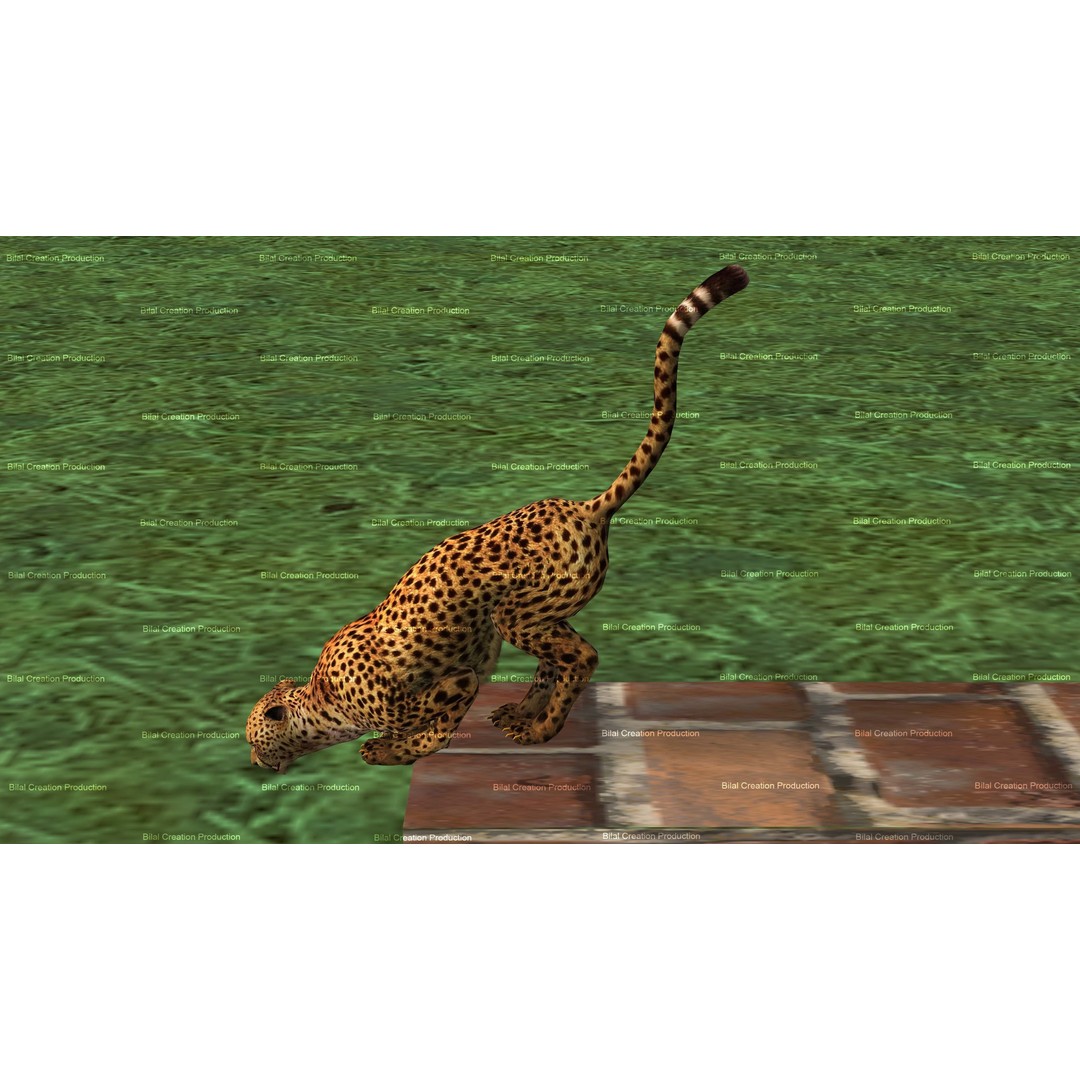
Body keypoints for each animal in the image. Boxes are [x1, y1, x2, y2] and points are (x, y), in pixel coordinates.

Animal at [246, 264, 749, 773]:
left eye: (253, 737)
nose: (251, 759)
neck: (320, 703)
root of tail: (580, 507)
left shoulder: (453, 682)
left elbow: (434, 726)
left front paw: (390, 750)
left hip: (518, 615)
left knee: (582, 658)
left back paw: (539, 729)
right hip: (541, 613)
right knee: (558, 660)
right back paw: (524, 712)